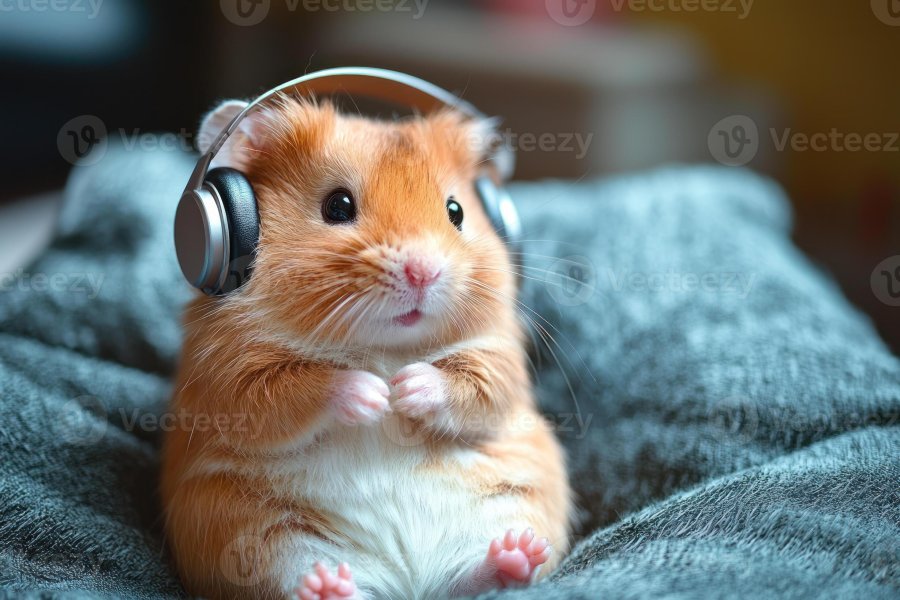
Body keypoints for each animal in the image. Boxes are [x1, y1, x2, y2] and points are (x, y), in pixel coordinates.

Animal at [161, 95, 572, 600]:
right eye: (337, 206)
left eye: (456, 210)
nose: (423, 271)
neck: (382, 345)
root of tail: (408, 583)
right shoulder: (232, 374)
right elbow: (295, 392)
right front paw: (376, 393)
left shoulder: (497, 358)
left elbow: (471, 387)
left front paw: (405, 389)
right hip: (252, 532)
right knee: (297, 580)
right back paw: (327, 585)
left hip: (515, 503)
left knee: (470, 579)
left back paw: (516, 555)